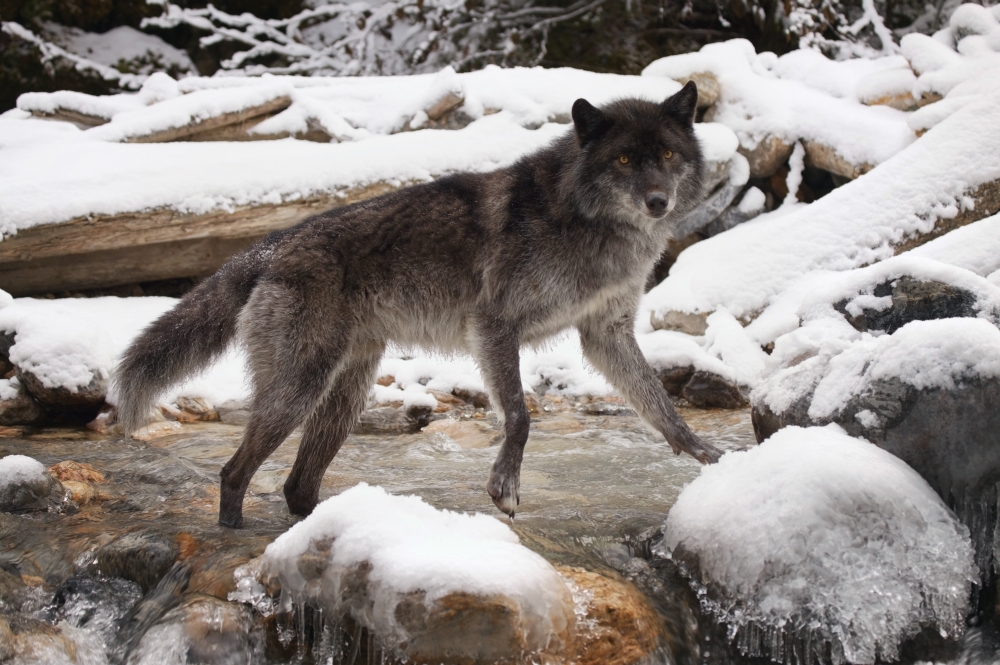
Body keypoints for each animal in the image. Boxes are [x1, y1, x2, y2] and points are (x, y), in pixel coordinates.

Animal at [113, 81, 723, 528]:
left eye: (667, 154)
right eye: (623, 160)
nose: (658, 201)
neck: (587, 221)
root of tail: (273, 244)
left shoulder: (605, 334)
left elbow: (661, 407)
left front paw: (707, 457)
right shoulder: (494, 326)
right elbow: (520, 416)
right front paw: (504, 489)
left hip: (344, 397)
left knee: (295, 485)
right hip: (298, 391)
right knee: (234, 472)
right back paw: (235, 532)